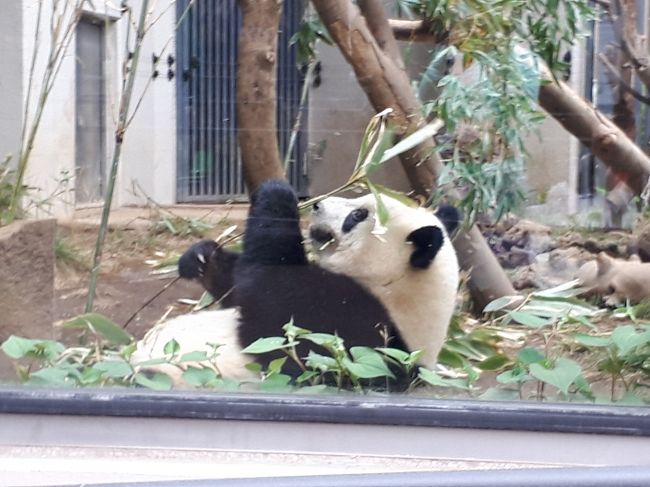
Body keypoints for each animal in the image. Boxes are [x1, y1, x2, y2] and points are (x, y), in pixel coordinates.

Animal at [132, 181, 458, 386]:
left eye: (357, 214)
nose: (318, 205)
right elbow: (241, 292)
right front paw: (202, 259)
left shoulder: (359, 333)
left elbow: (271, 303)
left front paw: (279, 193)